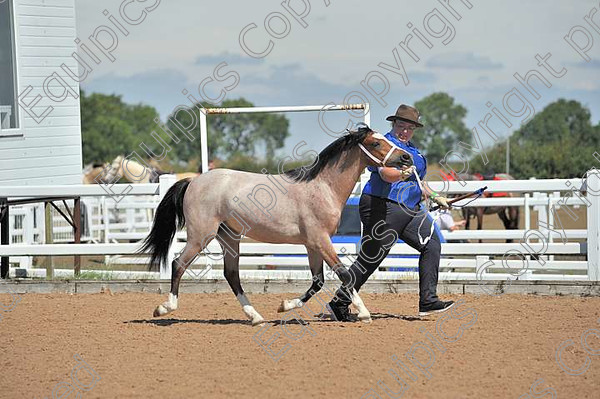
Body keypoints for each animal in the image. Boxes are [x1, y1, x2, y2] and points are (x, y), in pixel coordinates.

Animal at [139, 126, 412, 326]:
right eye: (376, 143)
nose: (407, 157)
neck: (322, 188)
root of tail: (192, 182)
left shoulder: (312, 244)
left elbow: (318, 281)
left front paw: (284, 306)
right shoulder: (320, 240)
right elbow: (344, 274)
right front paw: (364, 313)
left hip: (229, 237)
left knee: (231, 274)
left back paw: (255, 317)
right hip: (201, 236)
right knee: (178, 264)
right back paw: (164, 308)